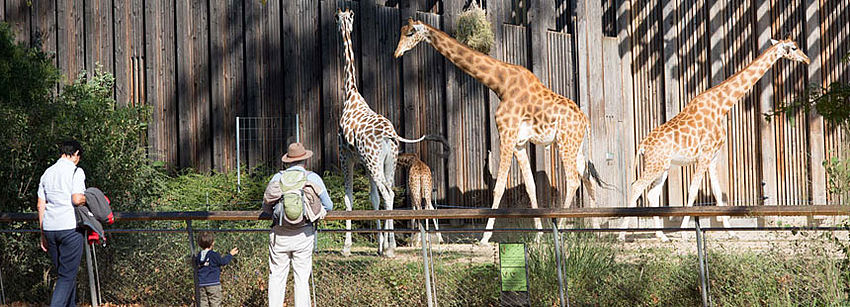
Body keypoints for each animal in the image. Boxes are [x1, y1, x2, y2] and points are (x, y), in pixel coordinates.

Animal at [334, 9, 450, 258]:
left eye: (339, 20)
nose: (340, 22)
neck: (351, 93)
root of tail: (389, 135)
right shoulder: (364, 163)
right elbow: (373, 199)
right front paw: (379, 244)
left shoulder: (346, 156)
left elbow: (349, 199)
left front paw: (347, 248)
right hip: (388, 162)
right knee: (391, 194)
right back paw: (391, 245)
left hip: (375, 162)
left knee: (389, 194)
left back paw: (389, 249)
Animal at [392, 19, 604, 245]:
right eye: (401, 32)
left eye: (410, 33)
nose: (397, 53)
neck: (500, 84)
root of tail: (585, 120)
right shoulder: (519, 143)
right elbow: (530, 186)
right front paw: (538, 236)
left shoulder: (506, 134)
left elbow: (499, 186)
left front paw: (485, 237)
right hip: (577, 146)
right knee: (587, 178)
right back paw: (596, 231)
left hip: (565, 143)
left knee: (573, 180)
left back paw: (563, 226)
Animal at [616, 38, 808, 243]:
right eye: (794, 47)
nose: (806, 59)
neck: (722, 106)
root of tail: (642, 145)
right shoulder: (705, 154)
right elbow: (693, 191)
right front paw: (684, 233)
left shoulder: (713, 156)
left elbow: (717, 193)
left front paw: (731, 232)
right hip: (656, 164)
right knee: (636, 186)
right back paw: (621, 235)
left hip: (664, 166)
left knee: (652, 194)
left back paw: (661, 236)